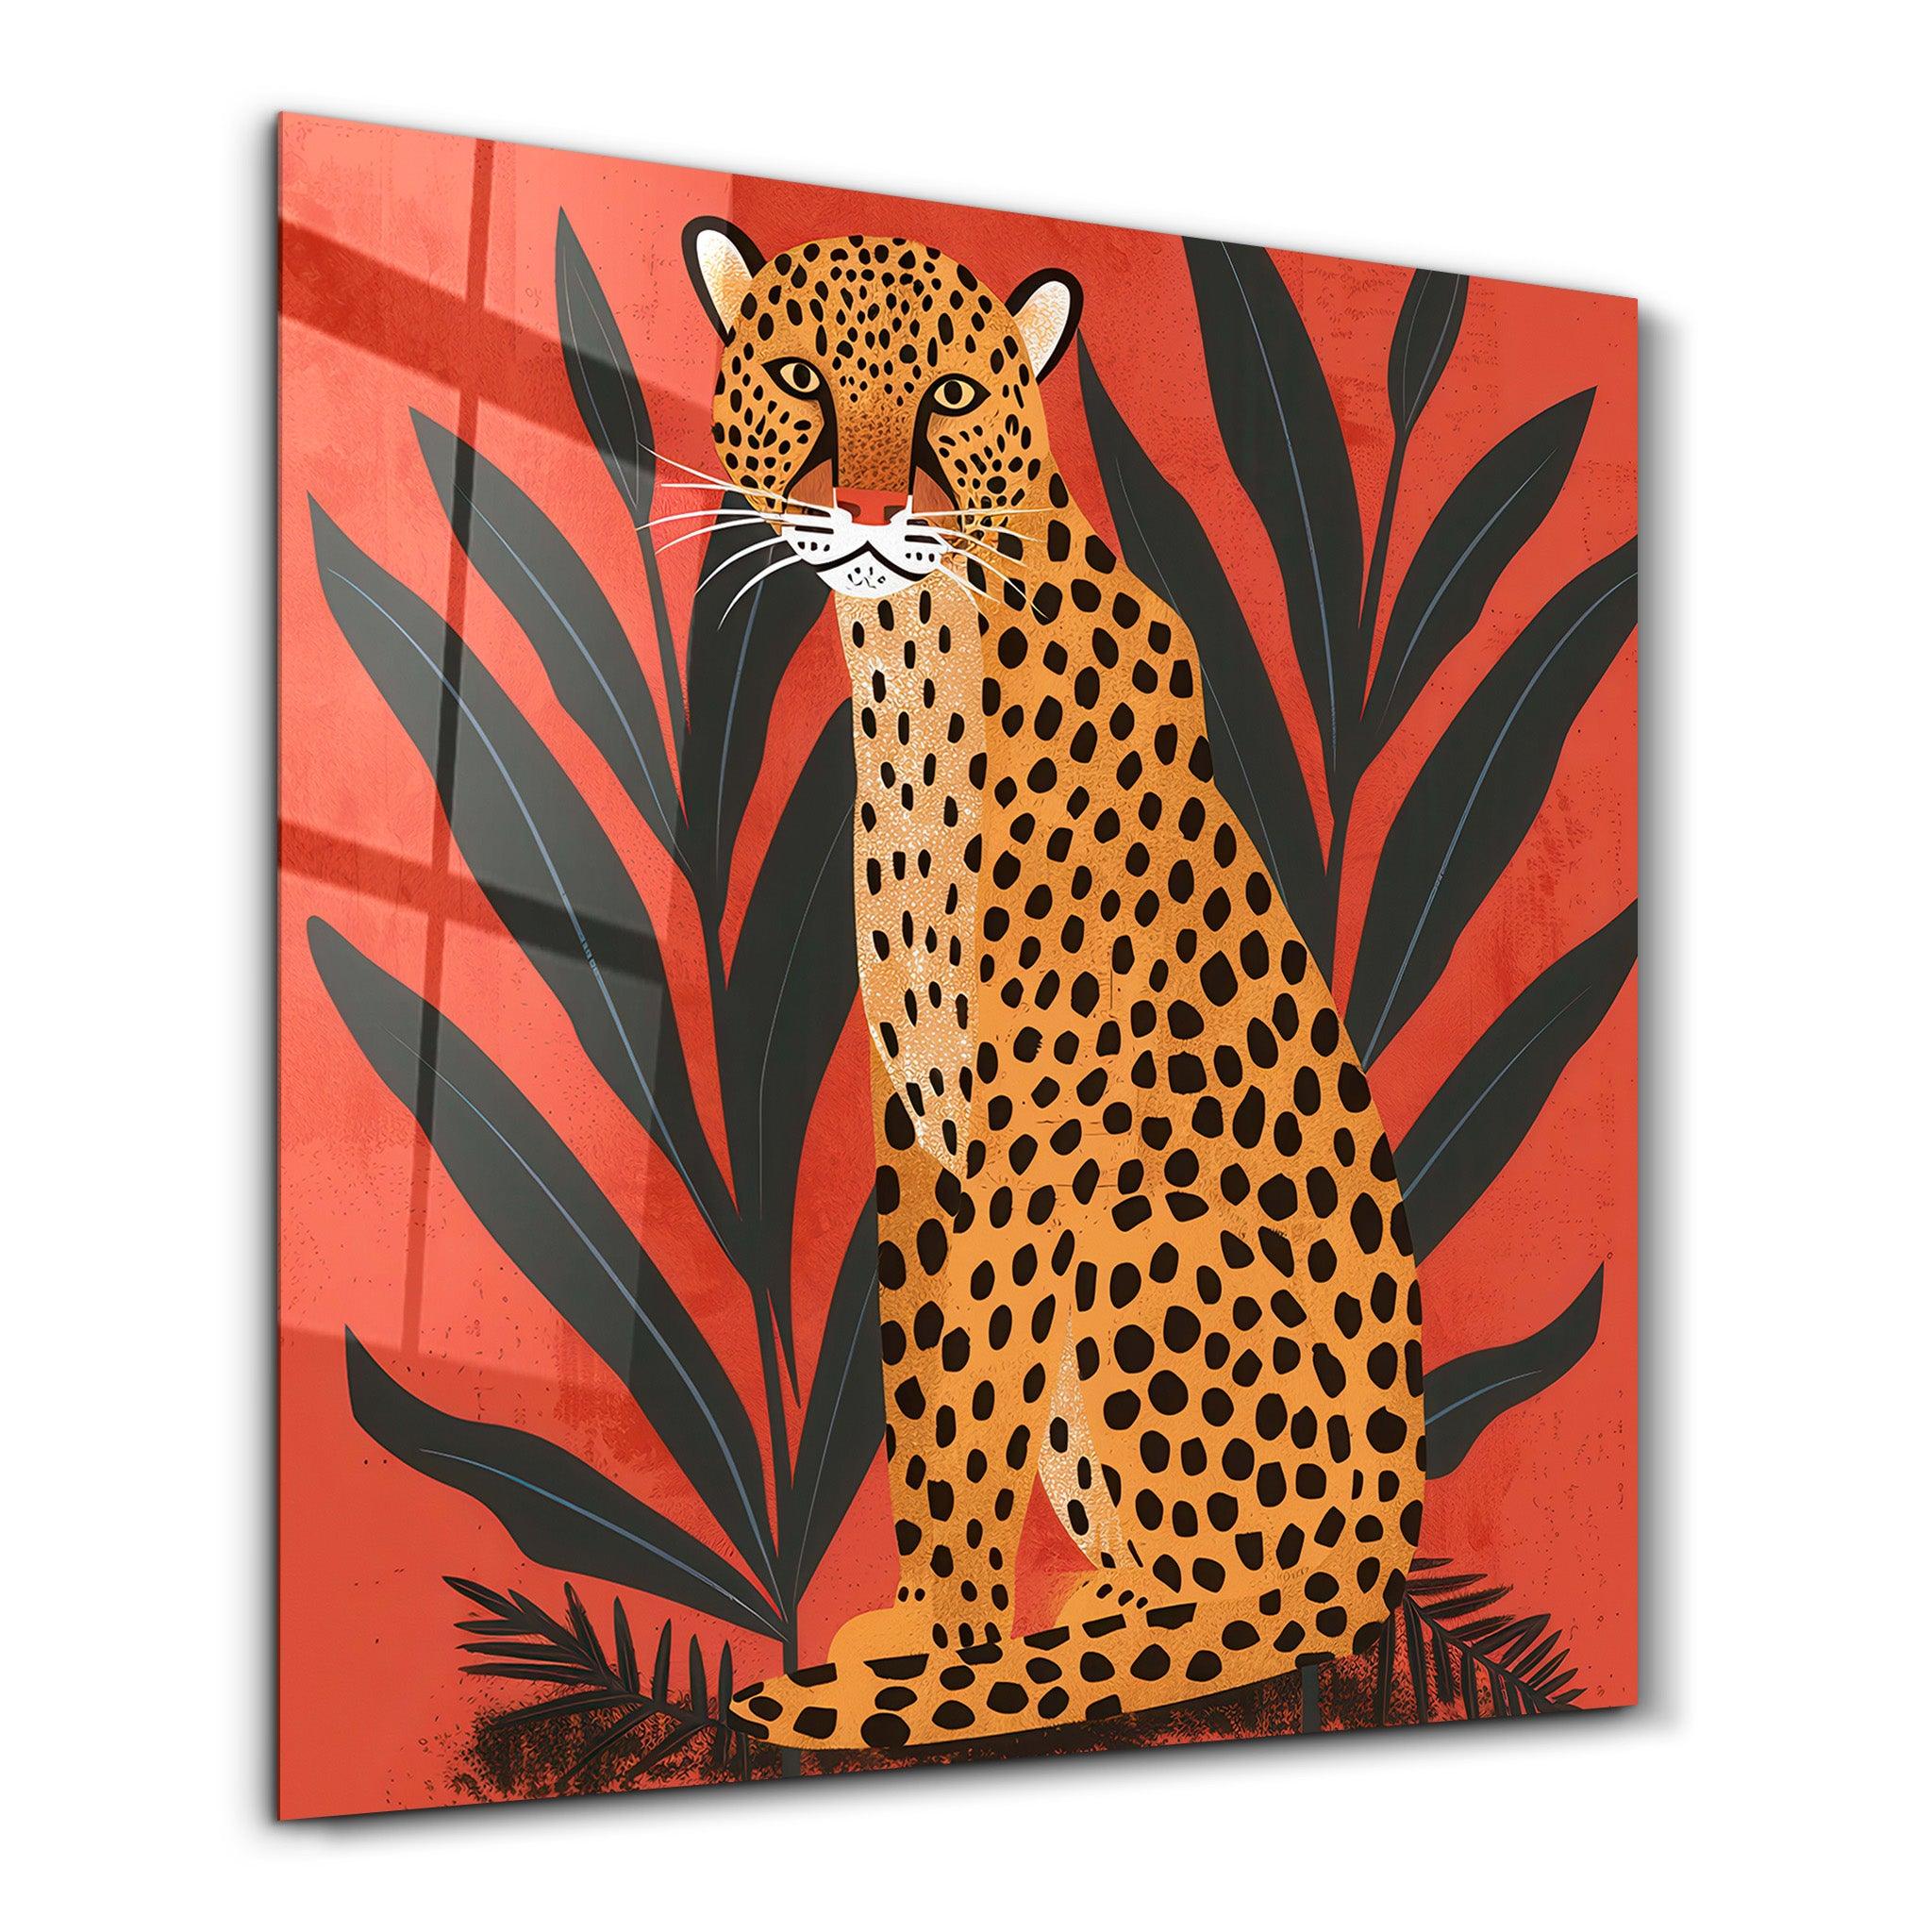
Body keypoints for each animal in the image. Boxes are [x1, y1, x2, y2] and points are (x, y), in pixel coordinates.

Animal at [680, 218, 1425, 1751]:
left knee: (1243, 1608)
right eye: (799, 375)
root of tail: (1379, 1546)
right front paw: (930, 1624)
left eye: (953, 395)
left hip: (1147, 1224)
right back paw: (1093, 1612)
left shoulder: (1028, 1142)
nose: (864, 507)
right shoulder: (921, 1122)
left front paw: (954, 1651)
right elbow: (923, 1381)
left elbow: (971, 1392)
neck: (914, 652)